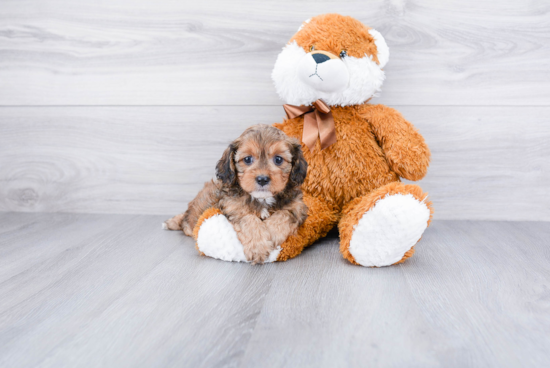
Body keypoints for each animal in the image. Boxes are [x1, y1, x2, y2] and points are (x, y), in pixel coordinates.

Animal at [164, 125, 310, 264]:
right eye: (247, 159)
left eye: (278, 159)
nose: (262, 179)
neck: (263, 199)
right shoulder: (233, 206)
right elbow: (249, 219)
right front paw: (259, 247)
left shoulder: (298, 206)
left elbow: (285, 214)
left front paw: (272, 233)